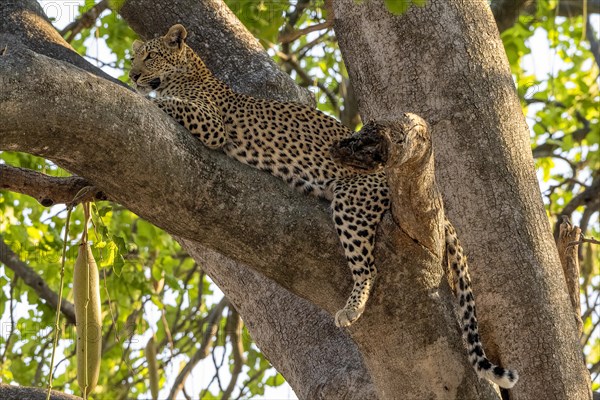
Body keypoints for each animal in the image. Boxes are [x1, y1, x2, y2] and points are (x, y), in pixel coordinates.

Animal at [129, 24, 516, 388]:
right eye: (135, 57)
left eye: (150, 56)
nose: (131, 75)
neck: (189, 72)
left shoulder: (211, 125)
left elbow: (171, 103)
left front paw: (143, 97)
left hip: (351, 200)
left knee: (368, 267)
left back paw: (351, 309)